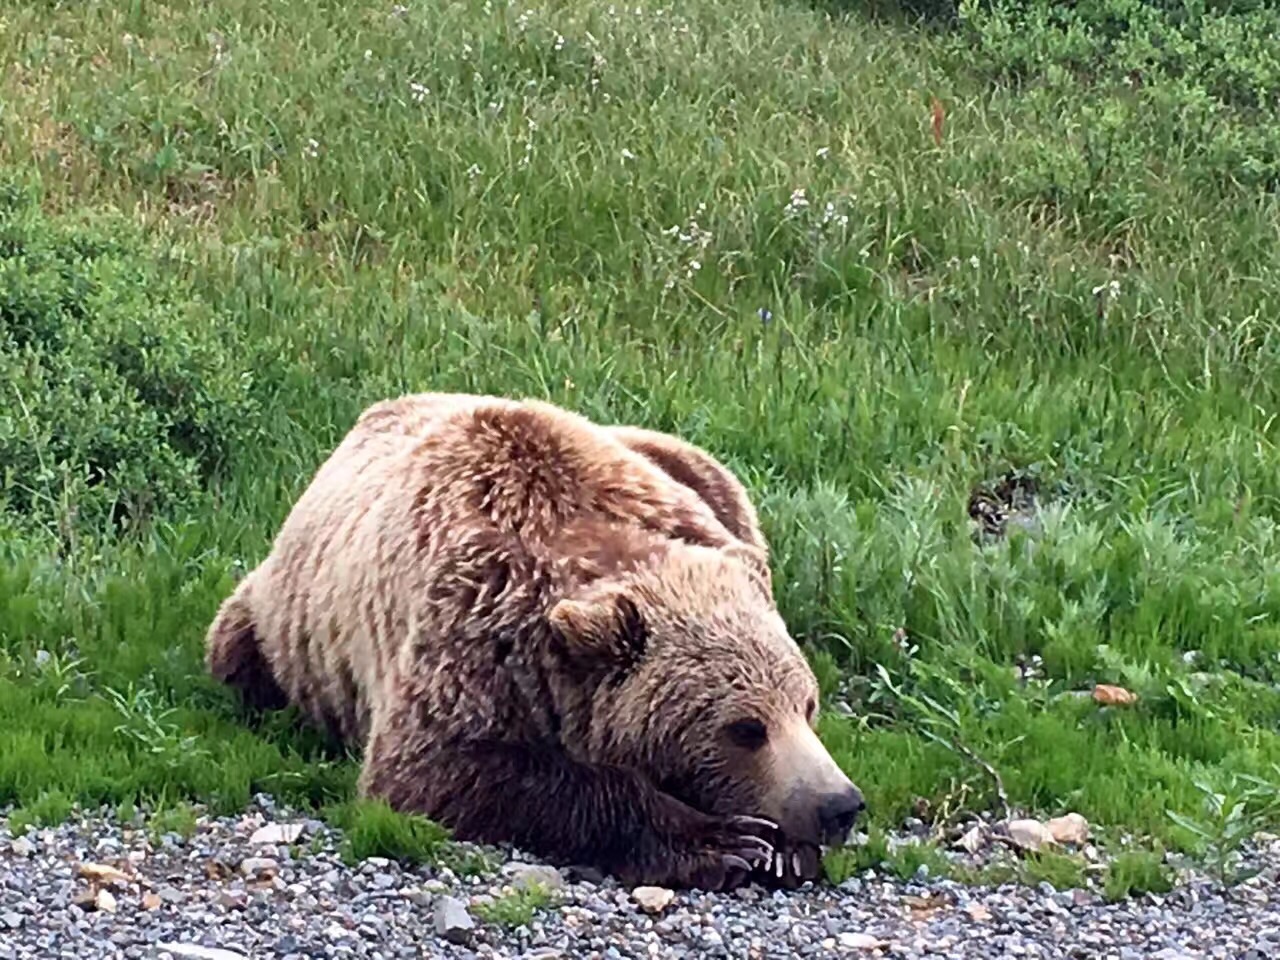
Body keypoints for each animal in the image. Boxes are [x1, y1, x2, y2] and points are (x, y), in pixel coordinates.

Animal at [207, 391, 870, 896]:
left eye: (806, 705)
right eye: (745, 728)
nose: (840, 805)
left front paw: (783, 847)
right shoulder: (471, 631)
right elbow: (440, 768)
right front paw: (724, 842)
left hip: (701, 471)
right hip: (271, 622)